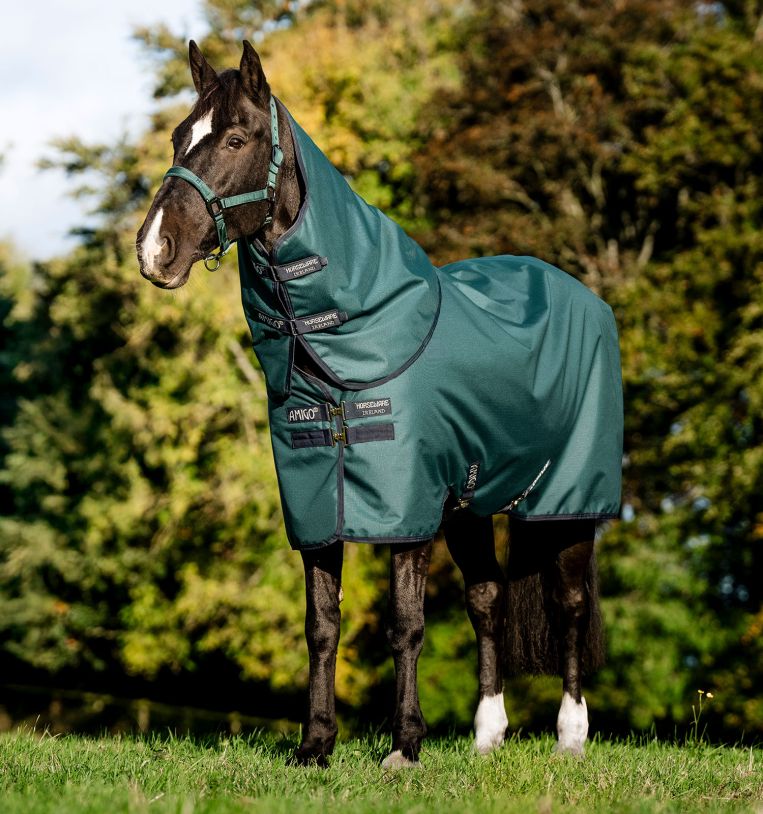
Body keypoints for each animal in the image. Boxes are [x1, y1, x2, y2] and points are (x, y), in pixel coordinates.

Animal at [136, 40, 622, 768]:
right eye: (176, 138)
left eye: (235, 138)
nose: (153, 250)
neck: (350, 343)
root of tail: (582, 296)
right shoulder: (316, 508)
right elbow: (321, 625)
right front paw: (315, 745)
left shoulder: (407, 512)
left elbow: (406, 625)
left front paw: (404, 746)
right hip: (470, 506)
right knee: (488, 600)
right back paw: (487, 736)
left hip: (566, 502)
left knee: (567, 604)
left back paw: (570, 736)